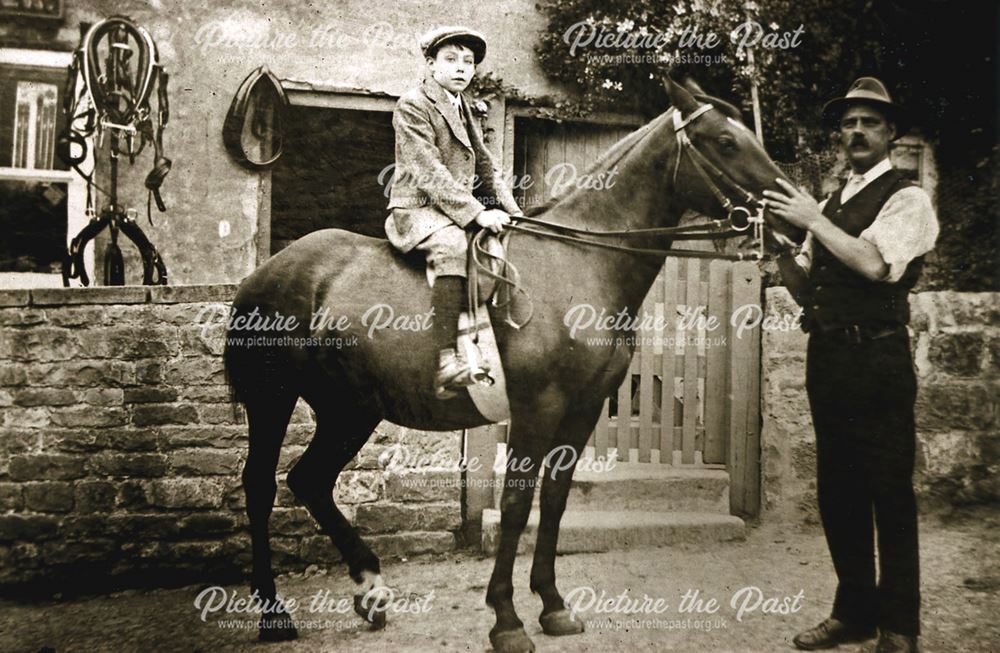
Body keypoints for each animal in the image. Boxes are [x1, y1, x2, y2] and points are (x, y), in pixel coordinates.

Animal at [223, 79, 800, 648]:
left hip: (351, 409)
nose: (792, 221)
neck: (580, 261)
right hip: (274, 400)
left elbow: (555, 501)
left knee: (311, 481)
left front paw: (553, 605)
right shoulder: (536, 410)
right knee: (262, 486)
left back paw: (372, 589)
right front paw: (507, 619)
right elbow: (518, 506)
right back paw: (275, 615)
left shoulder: (582, 412)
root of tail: (266, 272)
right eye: (725, 142)